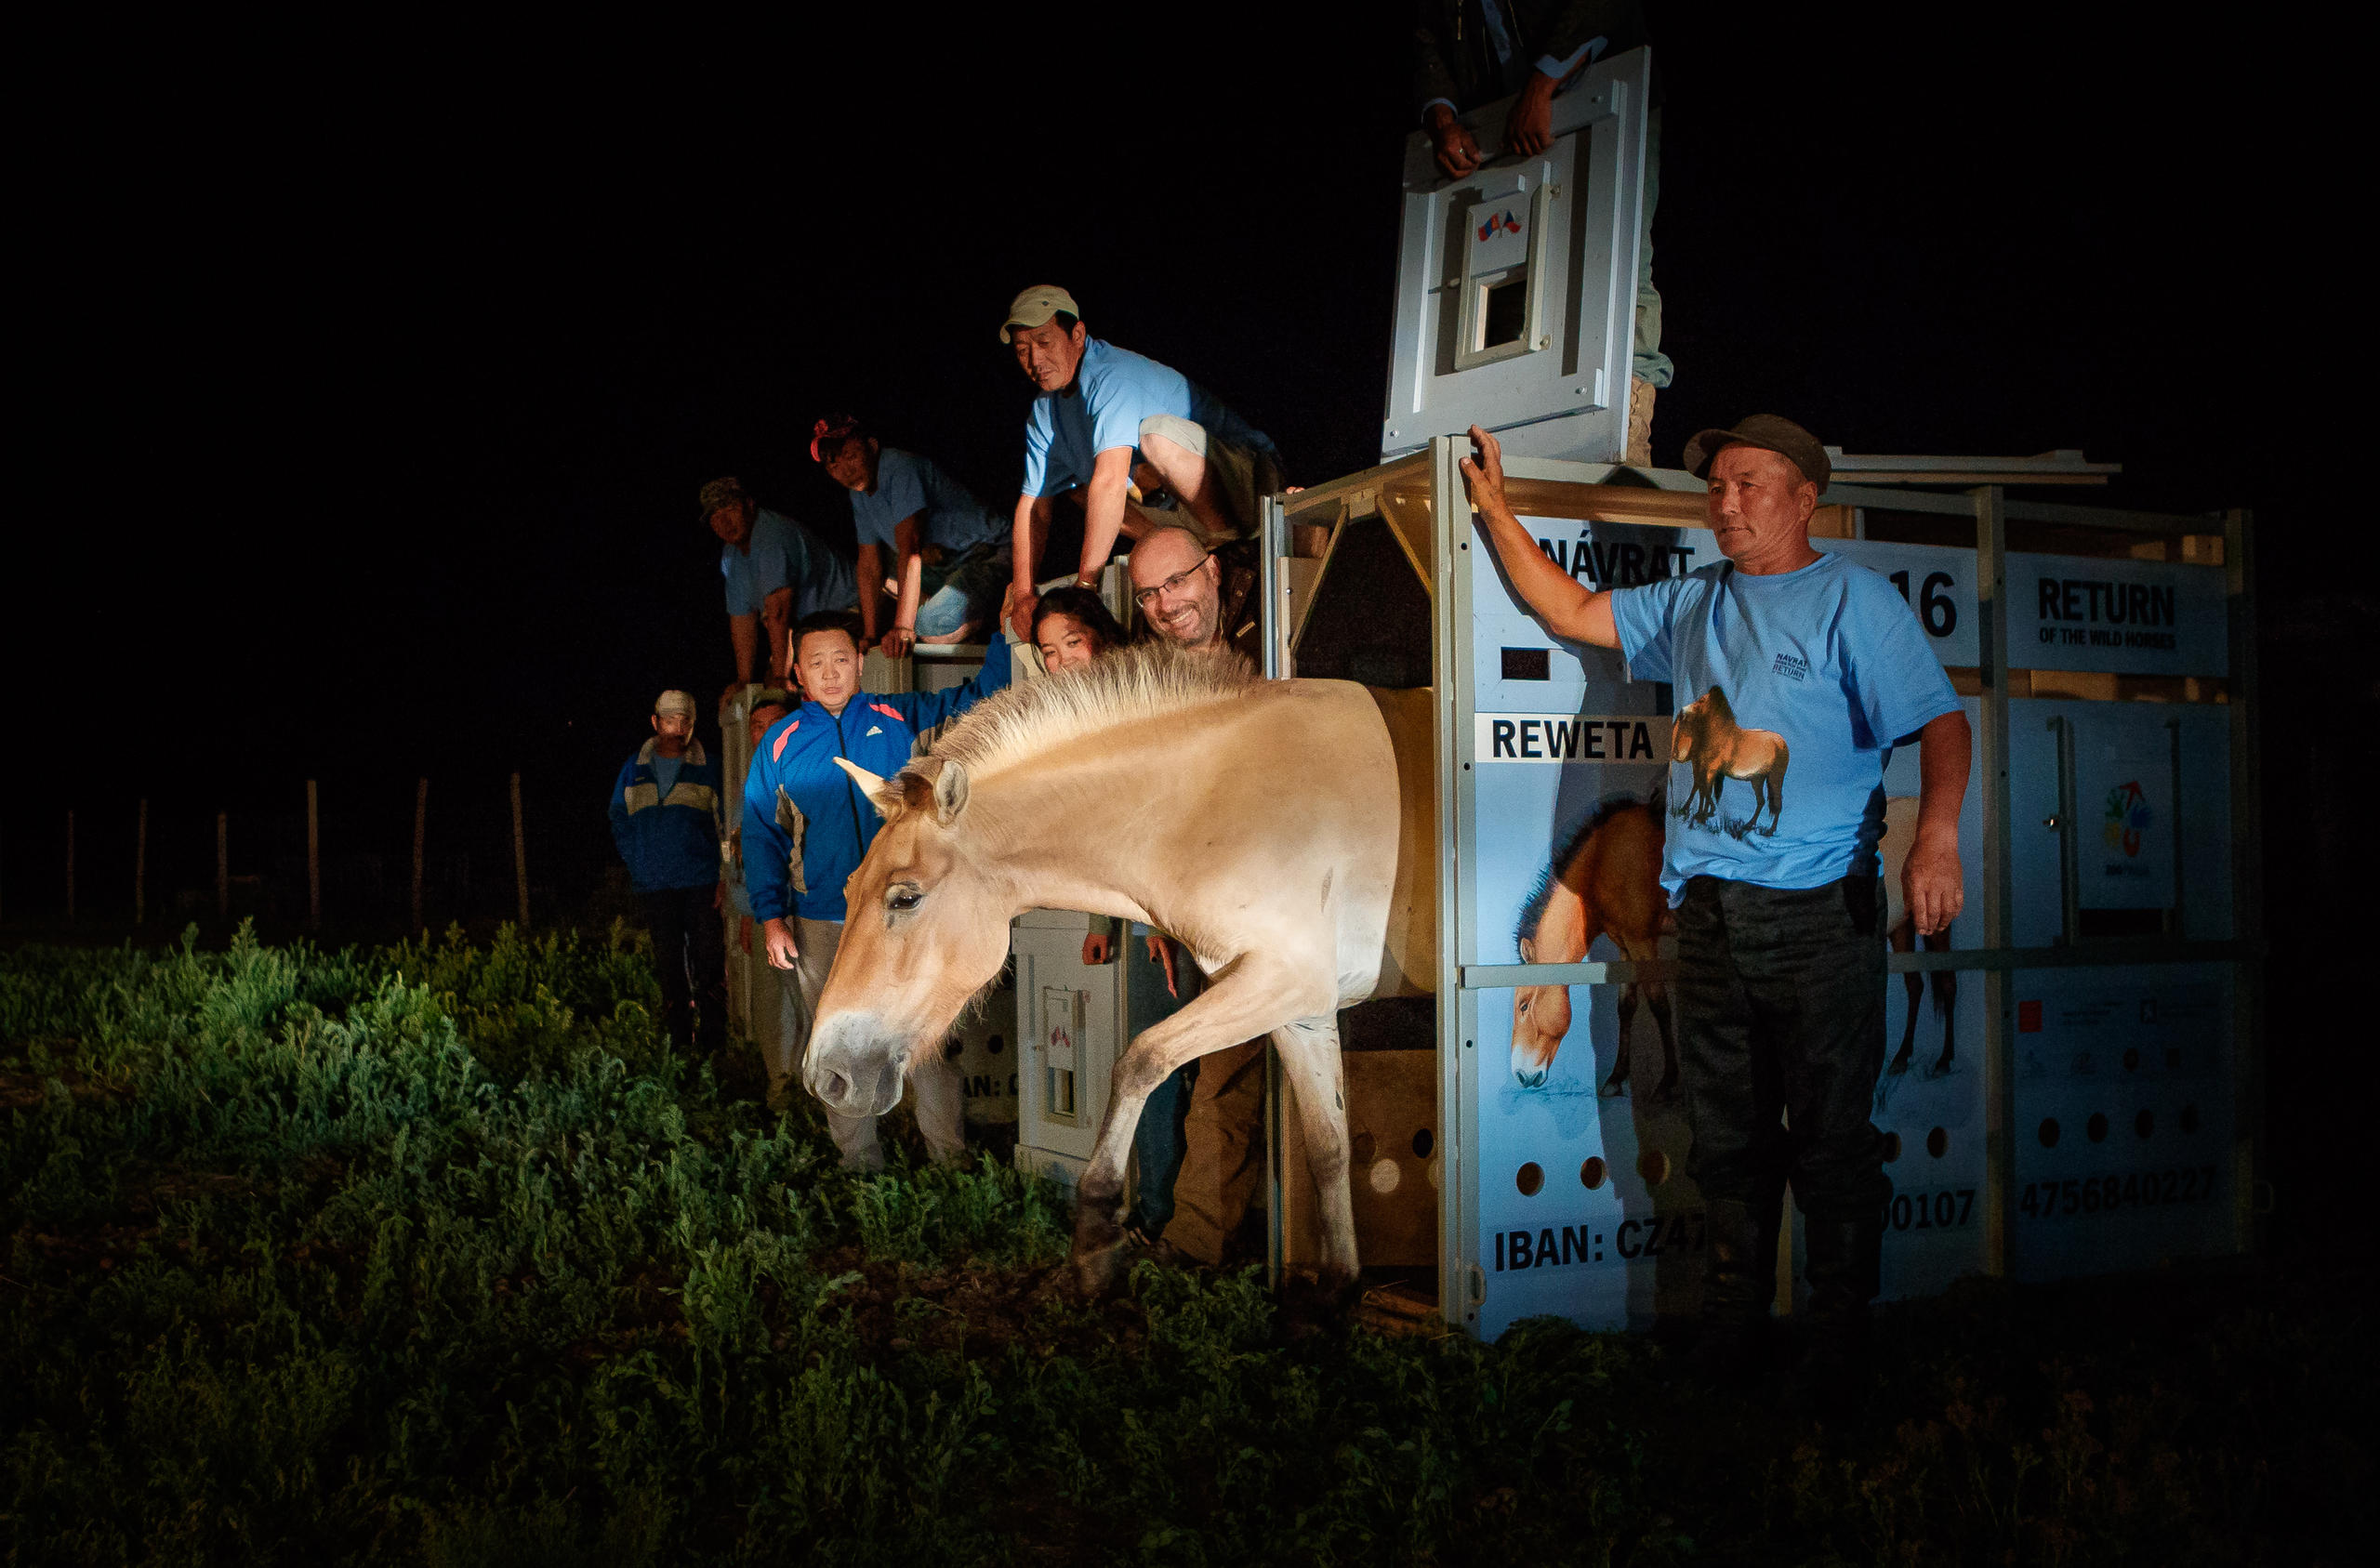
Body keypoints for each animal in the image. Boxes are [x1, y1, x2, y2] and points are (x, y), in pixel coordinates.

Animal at [809, 642, 1428, 1303]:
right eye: (846, 890)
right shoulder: (1302, 1010)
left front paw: (1095, 1238)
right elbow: (1328, 1147)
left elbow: (1139, 1060)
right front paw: (1338, 1290)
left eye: (905, 899)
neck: (1213, 799)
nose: (825, 1077)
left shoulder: (1283, 981)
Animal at [1503, 804, 1675, 1099]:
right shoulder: (1625, 946)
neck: (1604, 863)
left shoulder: (1642, 941)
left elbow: (1659, 1004)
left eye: (1524, 1006)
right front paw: (1617, 1078)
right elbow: (1626, 1006)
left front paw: (1668, 1084)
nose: (1521, 1075)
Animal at [1675, 685, 1790, 832]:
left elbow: (1705, 790)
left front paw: (1703, 816)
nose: (1682, 710)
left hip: (1775, 777)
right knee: (1761, 801)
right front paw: (1701, 814)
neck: (1720, 735)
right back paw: (1748, 825)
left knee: (1777, 802)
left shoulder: (1711, 769)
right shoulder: (1703, 767)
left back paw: (1770, 831)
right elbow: (1703, 789)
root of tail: (1782, 742)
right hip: (1757, 779)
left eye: (1702, 700)